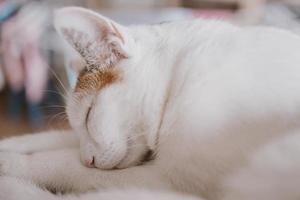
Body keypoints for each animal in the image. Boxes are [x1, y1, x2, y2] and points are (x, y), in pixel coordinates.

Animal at [0, 6, 300, 200]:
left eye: (89, 114)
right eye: (80, 121)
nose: (89, 160)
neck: (178, 75)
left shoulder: (168, 178)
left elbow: (64, 164)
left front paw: (13, 164)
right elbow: (53, 139)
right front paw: (10, 147)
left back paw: (14, 189)